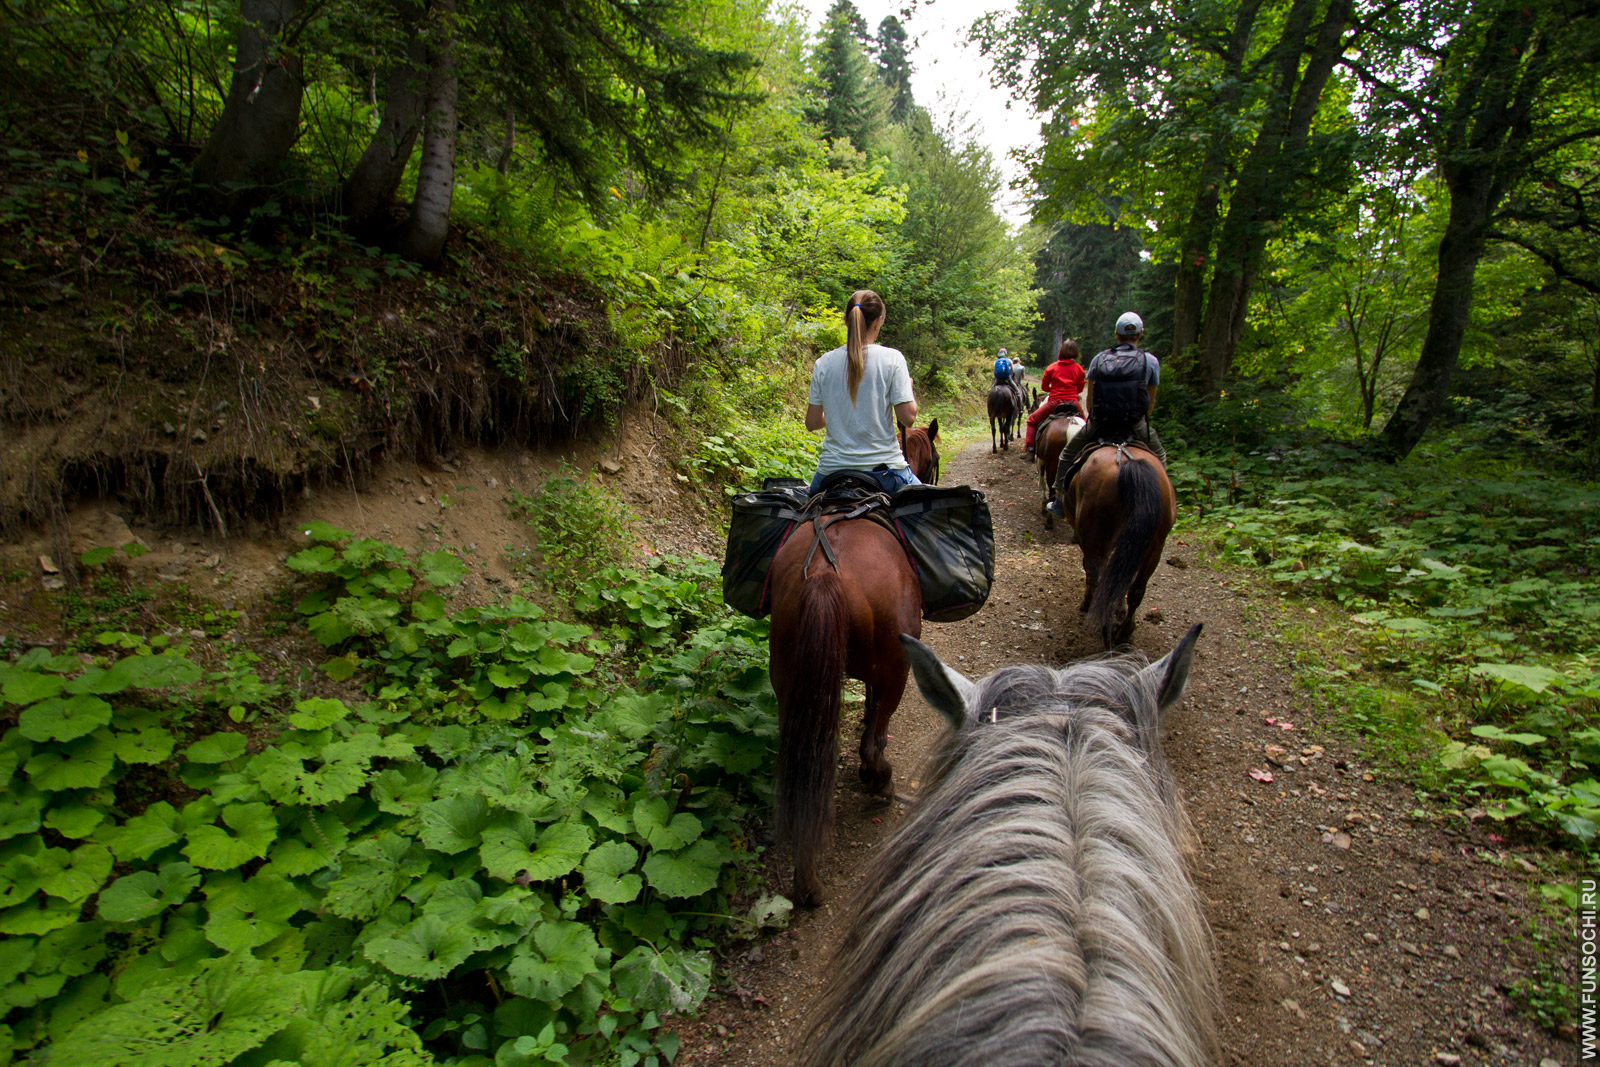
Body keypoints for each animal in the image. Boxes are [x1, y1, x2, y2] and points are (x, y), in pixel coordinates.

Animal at [764, 502, 921, 908]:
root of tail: (823, 573)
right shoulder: (888, 672)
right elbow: (873, 723)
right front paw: (872, 777)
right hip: (897, 668)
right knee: (873, 745)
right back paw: (881, 785)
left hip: (789, 679)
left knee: (803, 772)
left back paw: (807, 887)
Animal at [1062, 444, 1177, 652]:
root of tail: (1127, 462)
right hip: (1155, 547)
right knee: (1136, 590)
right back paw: (1123, 633)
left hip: (1098, 540)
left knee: (1102, 580)